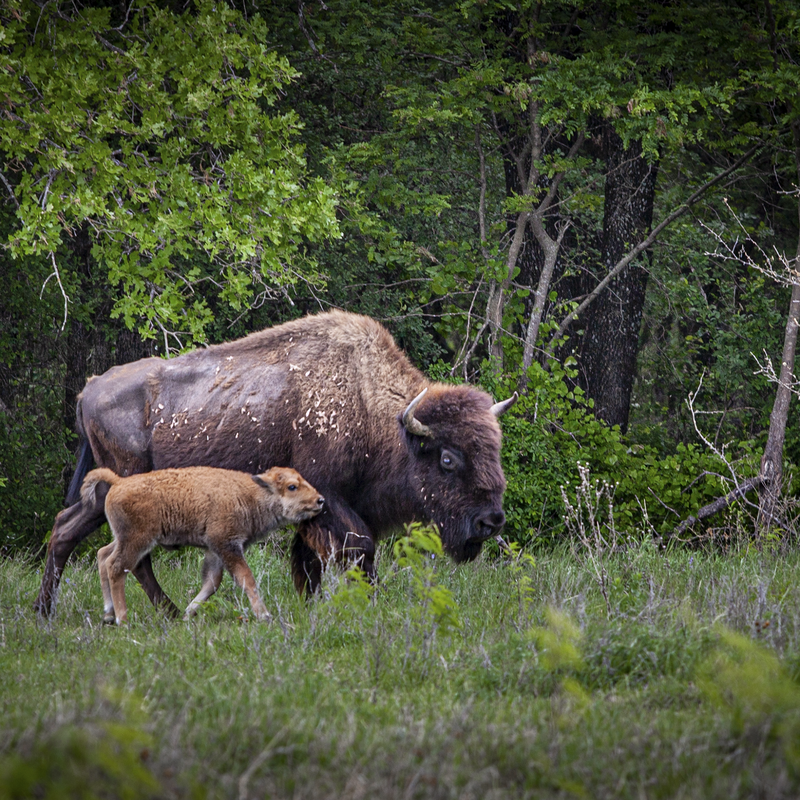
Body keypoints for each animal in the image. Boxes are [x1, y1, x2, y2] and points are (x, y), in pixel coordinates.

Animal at [83, 466, 324, 624]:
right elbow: (246, 578)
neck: (250, 493)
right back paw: (122, 619)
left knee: (103, 555)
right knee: (116, 567)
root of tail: (119, 482)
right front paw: (264, 615)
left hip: (121, 539)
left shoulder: (214, 550)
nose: (320, 500)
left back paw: (108, 613)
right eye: (292, 486)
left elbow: (212, 582)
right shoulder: (226, 545)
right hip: (136, 541)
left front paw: (187, 614)